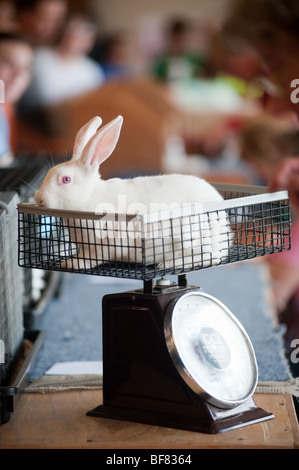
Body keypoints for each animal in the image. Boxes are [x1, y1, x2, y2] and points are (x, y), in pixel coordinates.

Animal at [35, 114, 232, 274]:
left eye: (66, 179)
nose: (39, 199)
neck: (90, 197)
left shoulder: (100, 246)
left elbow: (91, 259)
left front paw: (71, 264)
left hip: (190, 237)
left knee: (209, 258)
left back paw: (167, 264)